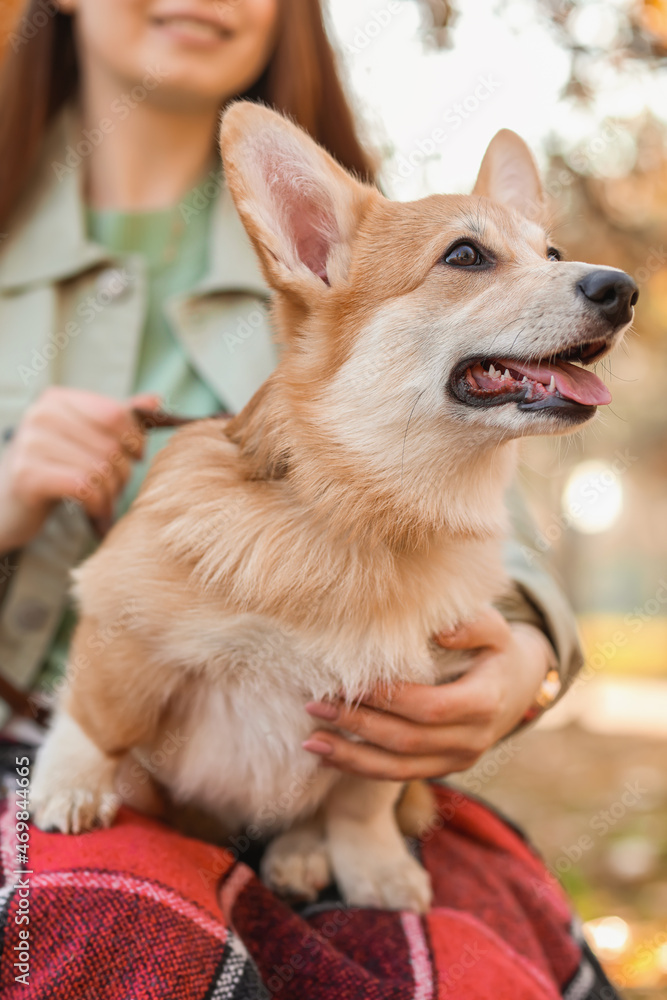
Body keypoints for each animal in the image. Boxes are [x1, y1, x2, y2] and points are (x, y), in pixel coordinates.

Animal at [31, 101, 636, 916]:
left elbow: (358, 804)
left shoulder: (387, 726)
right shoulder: (124, 623)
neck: (362, 508)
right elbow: (99, 718)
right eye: (466, 256)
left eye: (553, 252)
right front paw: (69, 786)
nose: (623, 289)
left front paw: (370, 867)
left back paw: (298, 856)